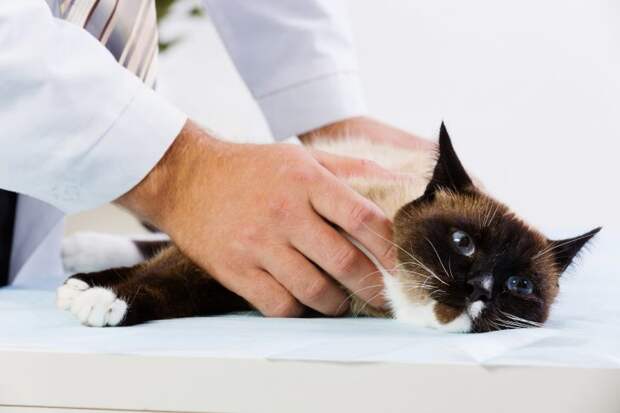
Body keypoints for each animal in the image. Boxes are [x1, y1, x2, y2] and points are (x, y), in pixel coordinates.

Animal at [58, 122, 600, 332]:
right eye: (462, 242)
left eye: (519, 286)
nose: (481, 289)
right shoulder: (255, 254)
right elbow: (167, 277)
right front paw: (106, 299)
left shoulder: (257, 285)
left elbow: (176, 288)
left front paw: (106, 299)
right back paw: (80, 277)